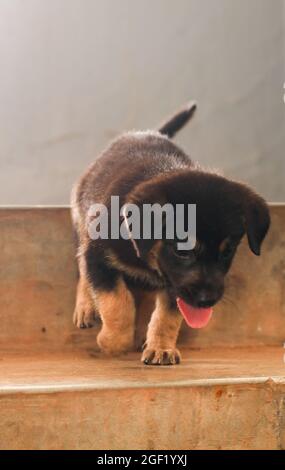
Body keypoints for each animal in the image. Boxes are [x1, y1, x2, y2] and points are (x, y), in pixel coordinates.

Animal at [71, 103, 268, 366]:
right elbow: (118, 303)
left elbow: (168, 316)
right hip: (81, 215)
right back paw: (85, 307)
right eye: (181, 251)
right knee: (81, 264)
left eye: (228, 252)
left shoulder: (178, 286)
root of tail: (148, 132)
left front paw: (161, 348)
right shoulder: (98, 255)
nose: (207, 301)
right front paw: (111, 342)